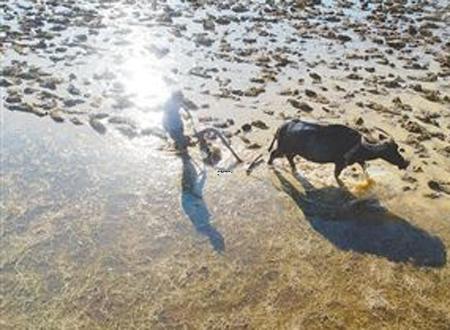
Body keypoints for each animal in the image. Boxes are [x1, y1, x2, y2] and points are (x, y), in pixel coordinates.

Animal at [268, 119, 410, 186]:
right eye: (391, 150)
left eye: (396, 147)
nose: (406, 162)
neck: (360, 145)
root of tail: (282, 126)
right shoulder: (340, 164)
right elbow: (337, 176)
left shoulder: (360, 160)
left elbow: (366, 171)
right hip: (283, 148)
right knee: (273, 153)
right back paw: (270, 164)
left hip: (292, 152)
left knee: (289, 159)